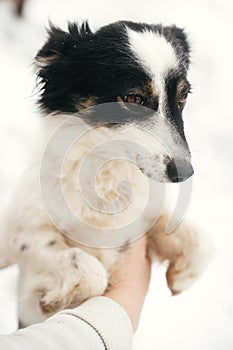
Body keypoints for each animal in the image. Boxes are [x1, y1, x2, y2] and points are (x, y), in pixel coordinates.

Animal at [0, 20, 213, 326]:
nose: (185, 172)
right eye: (133, 98)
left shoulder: (146, 217)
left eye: (183, 96)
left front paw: (183, 276)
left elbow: (201, 241)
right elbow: (91, 272)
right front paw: (52, 301)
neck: (105, 177)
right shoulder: (17, 231)